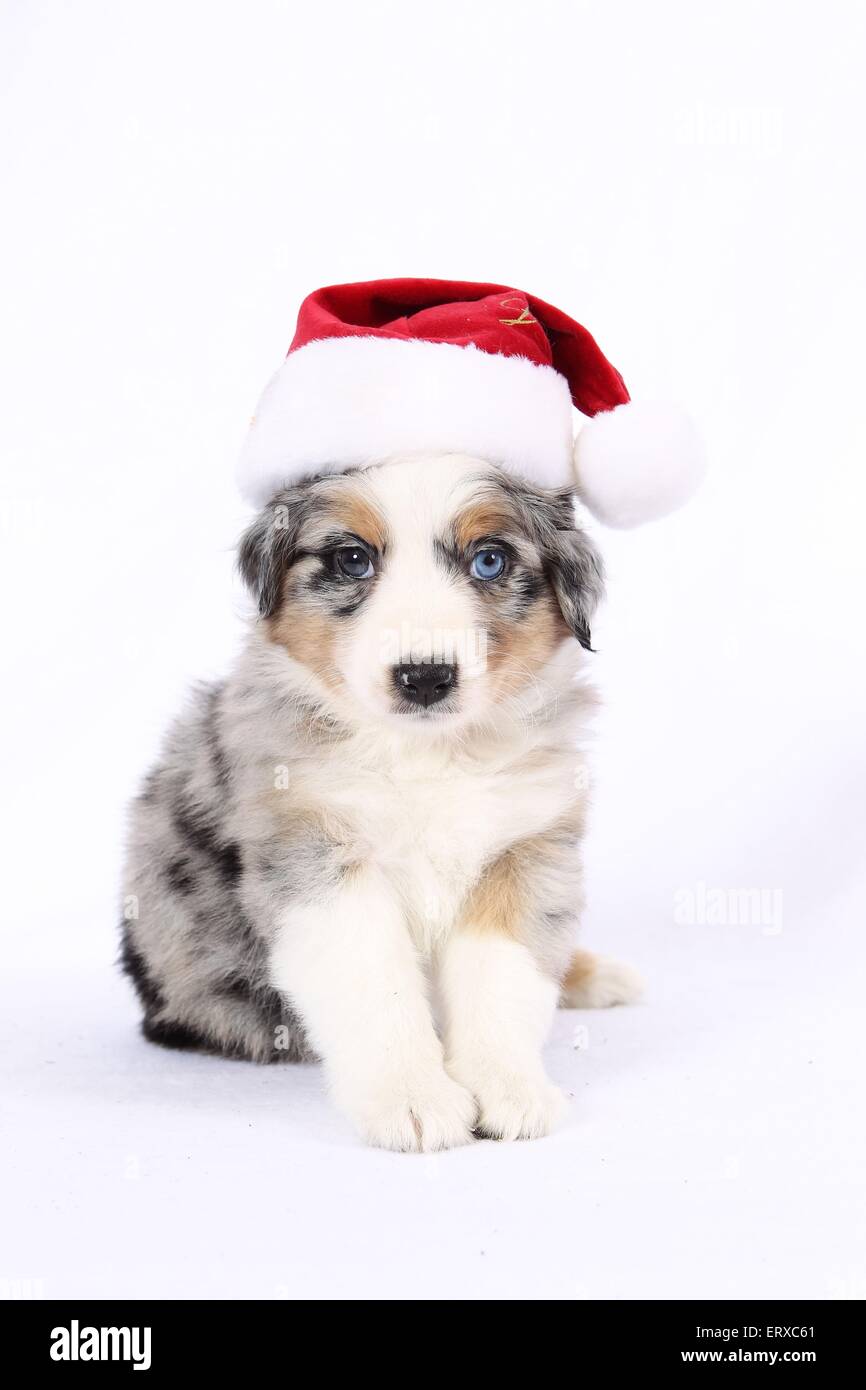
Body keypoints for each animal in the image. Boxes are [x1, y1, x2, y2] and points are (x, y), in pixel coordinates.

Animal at [120, 450, 644, 1145]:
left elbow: (503, 975)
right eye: (352, 560)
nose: (424, 677)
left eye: (490, 560)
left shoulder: (525, 849)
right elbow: (375, 983)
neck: (428, 754)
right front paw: (412, 1099)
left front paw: (509, 1086)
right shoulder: (317, 859)